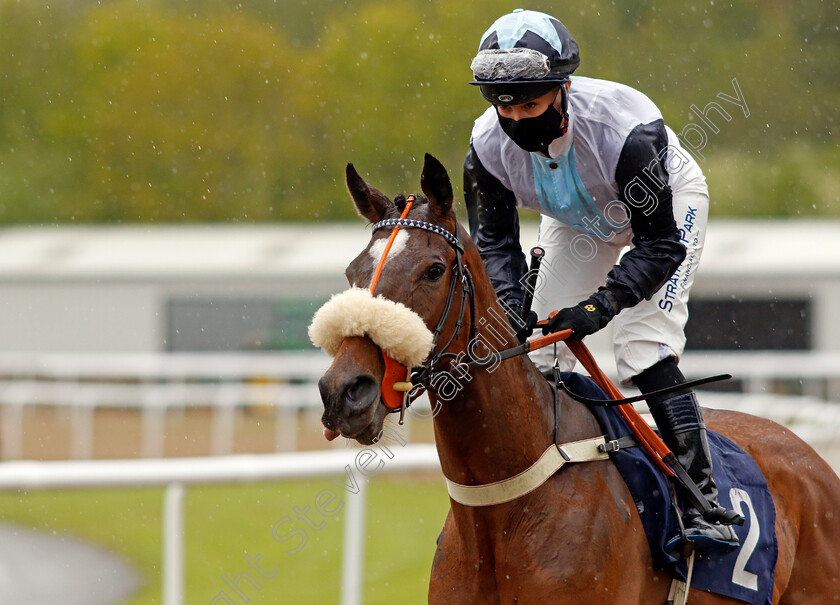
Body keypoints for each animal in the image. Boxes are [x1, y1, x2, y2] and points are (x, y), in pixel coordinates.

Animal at [314, 153, 840, 600]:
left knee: (649, 351)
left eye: (433, 269)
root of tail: (810, 456)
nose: (344, 391)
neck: (503, 504)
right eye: (351, 272)